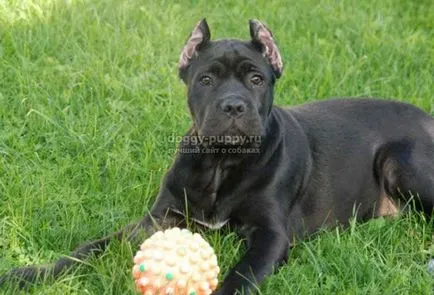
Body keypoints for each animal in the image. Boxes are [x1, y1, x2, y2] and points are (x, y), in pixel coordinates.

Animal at [0, 19, 434, 294]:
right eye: (205, 79)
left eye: (256, 79)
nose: (233, 106)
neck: (221, 164)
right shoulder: (159, 219)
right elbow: (90, 248)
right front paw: (29, 274)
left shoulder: (271, 235)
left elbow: (241, 276)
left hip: (400, 161)